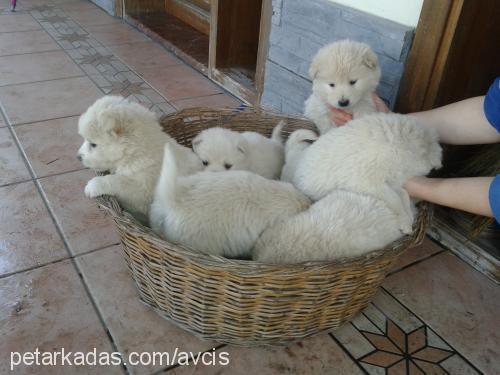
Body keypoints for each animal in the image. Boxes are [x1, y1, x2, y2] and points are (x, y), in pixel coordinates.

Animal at [77, 95, 201, 225]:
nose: (78, 157)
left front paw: (92, 185)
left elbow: (117, 180)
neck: (135, 152)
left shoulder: (143, 190)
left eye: (93, 144)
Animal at [292, 113, 442, 234]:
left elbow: (403, 194)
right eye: (430, 171)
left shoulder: (391, 181)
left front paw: (409, 218)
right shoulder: (369, 182)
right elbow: (395, 199)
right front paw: (405, 221)